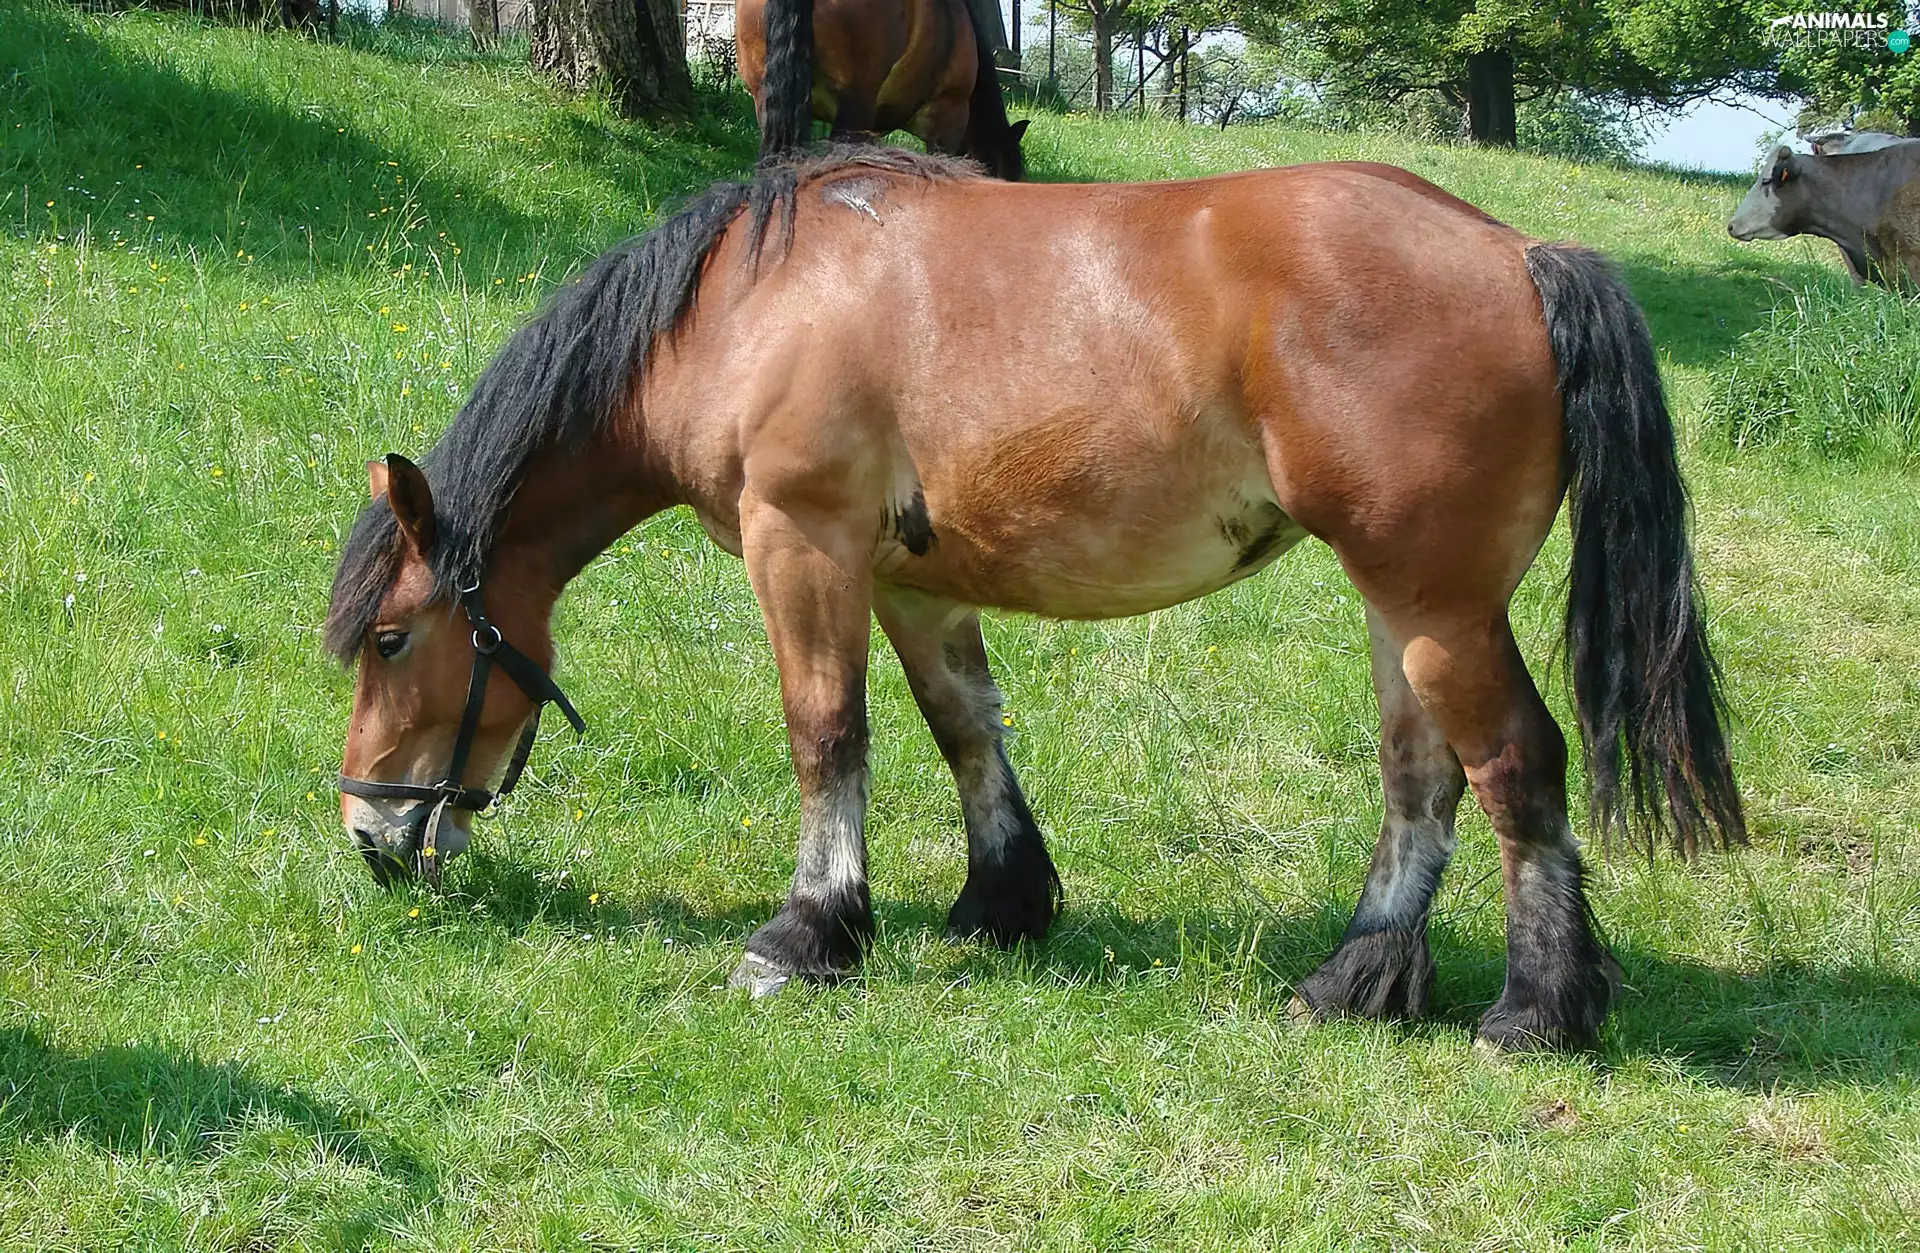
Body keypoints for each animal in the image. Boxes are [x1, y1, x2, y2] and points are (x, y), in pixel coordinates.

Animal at [326, 147, 1745, 1054]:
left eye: (392, 637)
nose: (370, 832)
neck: (744, 303)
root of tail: (1520, 251)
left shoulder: (803, 549)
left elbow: (825, 736)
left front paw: (807, 933)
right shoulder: (907, 581)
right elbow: (964, 728)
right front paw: (1001, 903)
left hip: (1436, 604)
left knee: (1514, 767)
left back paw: (1535, 1009)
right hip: (1400, 608)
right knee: (1421, 782)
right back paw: (1353, 977)